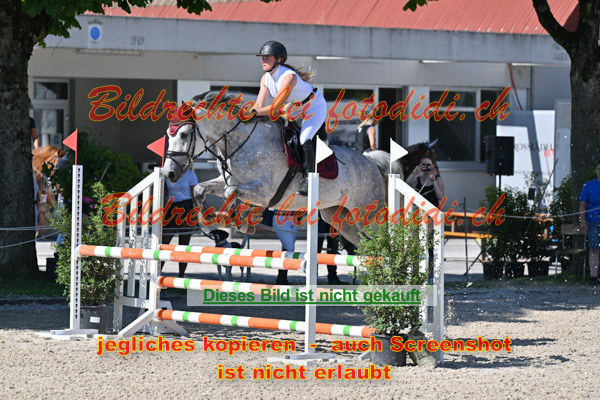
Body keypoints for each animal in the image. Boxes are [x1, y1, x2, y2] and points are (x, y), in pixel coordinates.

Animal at [163, 91, 427, 247]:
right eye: (169, 134)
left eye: (184, 134)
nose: (169, 174)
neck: (240, 142)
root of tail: (371, 162)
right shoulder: (228, 181)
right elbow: (201, 188)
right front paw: (210, 219)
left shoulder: (264, 191)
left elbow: (231, 193)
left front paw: (239, 221)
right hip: (338, 216)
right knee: (367, 250)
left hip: (367, 214)